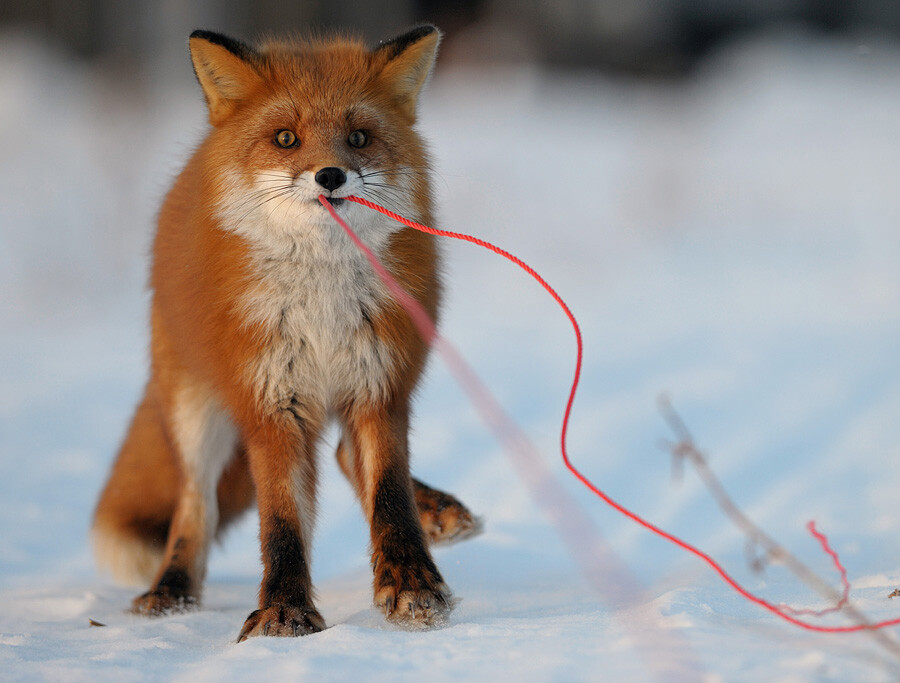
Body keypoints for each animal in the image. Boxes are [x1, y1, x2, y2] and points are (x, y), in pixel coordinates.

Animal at [93, 22, 478, 640]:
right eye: (285, 138)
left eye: (358, 138)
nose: (330, 175)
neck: (320, 303)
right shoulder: (271, 404)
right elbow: (281, 522)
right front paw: (284, 610)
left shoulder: (380, 385)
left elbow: (390, 496)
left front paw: (412, 585)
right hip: (193, 406)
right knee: (194, 505)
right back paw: (171, 591)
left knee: (346, 455)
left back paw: (435, 512)